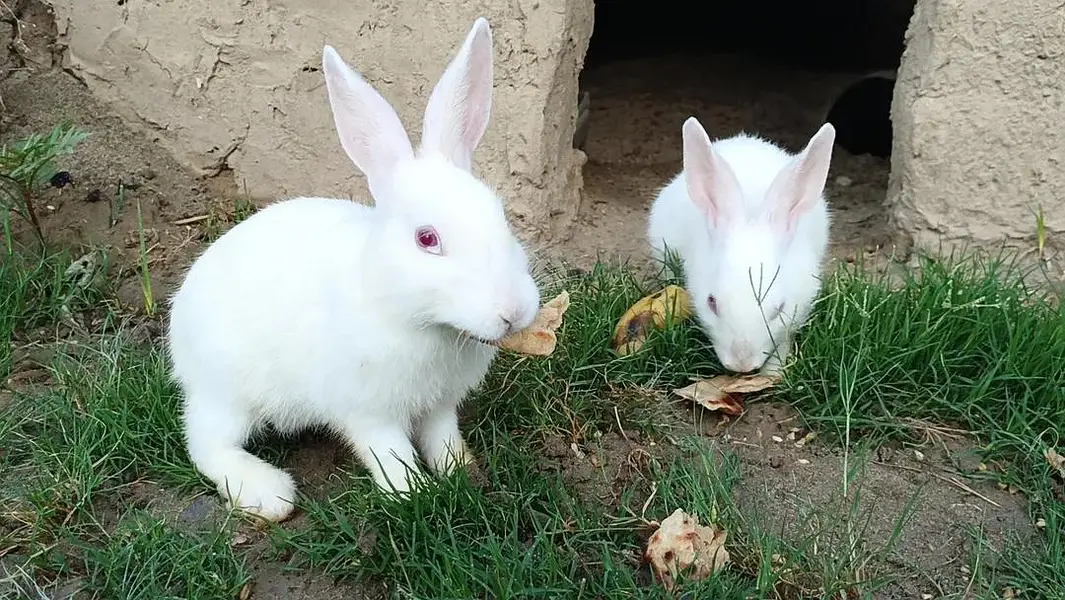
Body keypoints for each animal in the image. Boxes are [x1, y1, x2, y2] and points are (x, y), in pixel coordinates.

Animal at [166, 17, 540, 522]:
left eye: (502, 218)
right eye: (427, 239)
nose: (514, 311)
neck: (415, 318)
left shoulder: (440, 405)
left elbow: (442, 437)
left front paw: (461, 471)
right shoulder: (368, 412)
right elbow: (389, 453)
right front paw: (411, 494)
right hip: (228, 391)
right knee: (205, 443)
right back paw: (268, 493)